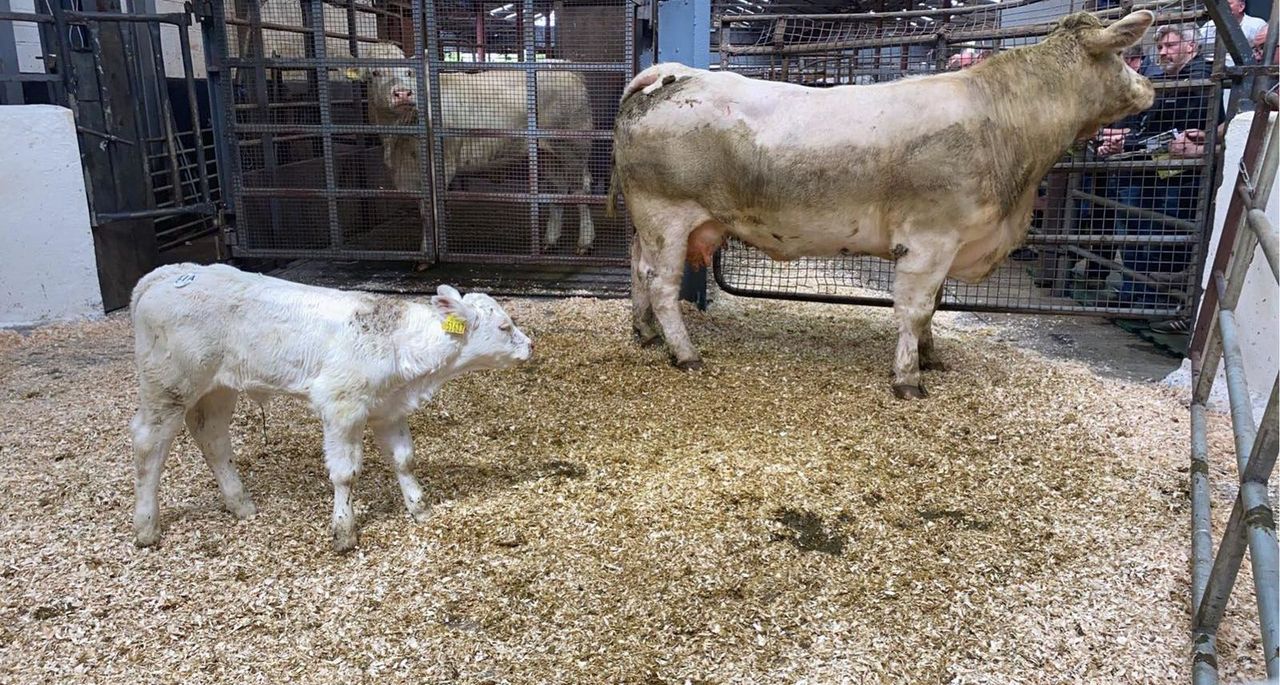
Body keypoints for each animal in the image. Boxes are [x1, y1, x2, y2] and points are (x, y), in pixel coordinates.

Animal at [128, 263, 532, 552]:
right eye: (504, 326)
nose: (530, 345)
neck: (396, 343)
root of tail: (163, 275)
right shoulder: (341, 406)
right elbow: (345, 473)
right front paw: (344, 530)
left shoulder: (389, 409)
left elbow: (404, 459)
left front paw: (419, 507)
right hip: (167, 386)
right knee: (148, 444)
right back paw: (147, 526)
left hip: (218, 388)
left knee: (211, 436)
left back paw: (240, 503)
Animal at [355, 42, 598, 255]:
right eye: (375, 73)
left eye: (409, 73)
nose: (403, 94)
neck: (396, 140)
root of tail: (561, 64)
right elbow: (423, 209)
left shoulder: (442, 163)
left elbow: (431, 209)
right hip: (548, 152)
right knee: (559, 187)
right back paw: (550, 240)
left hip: (573, 147)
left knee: (581, 189)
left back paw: (585, 242)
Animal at [607, 10, 1156, 398]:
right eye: (1123, 54)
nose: (1150, 87)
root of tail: (677, 74)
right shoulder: (930, 240)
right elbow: (915, 309)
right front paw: (908, 378)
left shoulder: (947, 244)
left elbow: (934, 308)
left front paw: (931, 356)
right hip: (666, 215)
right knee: (662, 285)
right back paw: (684, 352)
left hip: (650, 224)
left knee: (637, 271)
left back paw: (645, 332)